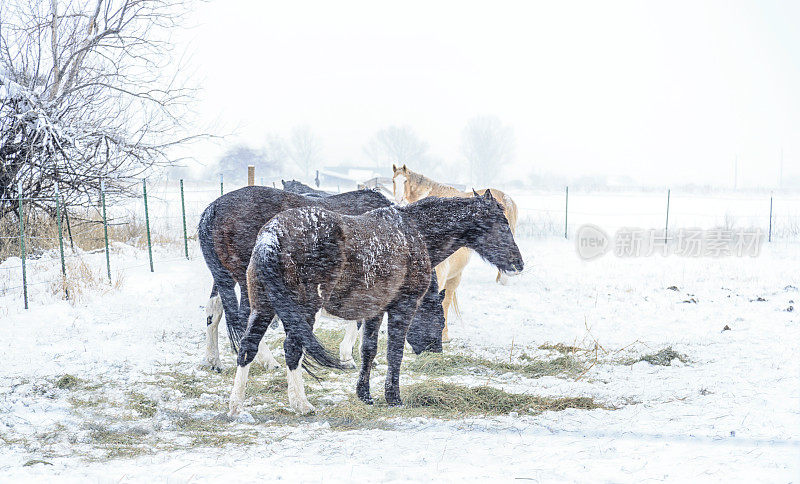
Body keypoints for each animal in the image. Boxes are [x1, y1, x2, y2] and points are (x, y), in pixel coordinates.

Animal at [195, 185, 444, 370]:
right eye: (440, 321)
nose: (435, 352)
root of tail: (214, 208)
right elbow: (358, 320)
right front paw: (348, 357)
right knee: (244, 317)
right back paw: (268, 361)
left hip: (225, 278)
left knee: (214, 310)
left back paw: (214, 361)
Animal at [230, 192, 524, 416]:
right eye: (502, 224)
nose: (518, 263)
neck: (414, 233)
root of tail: (272, 236)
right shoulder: (403, 307)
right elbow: (394, 352)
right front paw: (393, 397)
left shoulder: (374, 310)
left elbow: (368, 351)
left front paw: (365, 395)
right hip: (303, 311)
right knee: (292, 350)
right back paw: (301, 404)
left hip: (263, 307)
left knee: (247, 348)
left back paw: (236, 406)